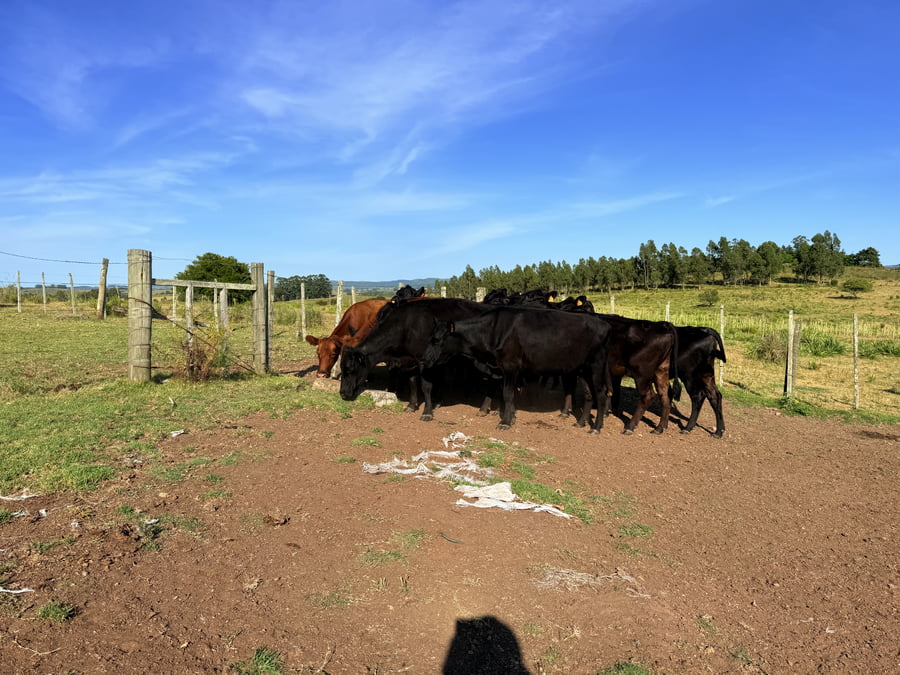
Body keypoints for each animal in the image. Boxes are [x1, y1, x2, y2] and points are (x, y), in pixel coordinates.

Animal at [339, 298, 493, 420]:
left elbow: (426, 386)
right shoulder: (410, 361)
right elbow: (412, 382)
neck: (407, 326)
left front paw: (427, 412)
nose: (342, 394)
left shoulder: (424, 361)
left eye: (351, 369)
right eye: (342, 368)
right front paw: (411, 405)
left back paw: (483, 408)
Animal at [422, 306, 612, 432]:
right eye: (430, 338)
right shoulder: (502, 368)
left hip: (596, 365)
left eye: (437, 340)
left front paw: (505, 422)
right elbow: (507, 394)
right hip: (582, 369)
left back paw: (596, 427)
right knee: (589, 395)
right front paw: (511, 417)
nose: (424, 359)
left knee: (601, 393)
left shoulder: (510, 366)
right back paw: (580, 422)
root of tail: (603, 323)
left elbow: (507, 394)